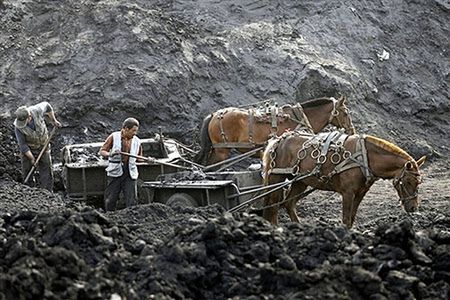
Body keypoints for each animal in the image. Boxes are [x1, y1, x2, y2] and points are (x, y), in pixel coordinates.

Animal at [260, 131, 426, 227]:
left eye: (418, 182)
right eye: (408, 182)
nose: (413, 208)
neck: (365, 156)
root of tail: (278, 141)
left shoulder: (360, 193)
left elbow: (351, 218)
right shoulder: (348, 193)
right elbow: (346, 219)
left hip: (301, 181)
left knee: (288, 203)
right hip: (276, 177)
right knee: (274, 204)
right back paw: (275, 227)